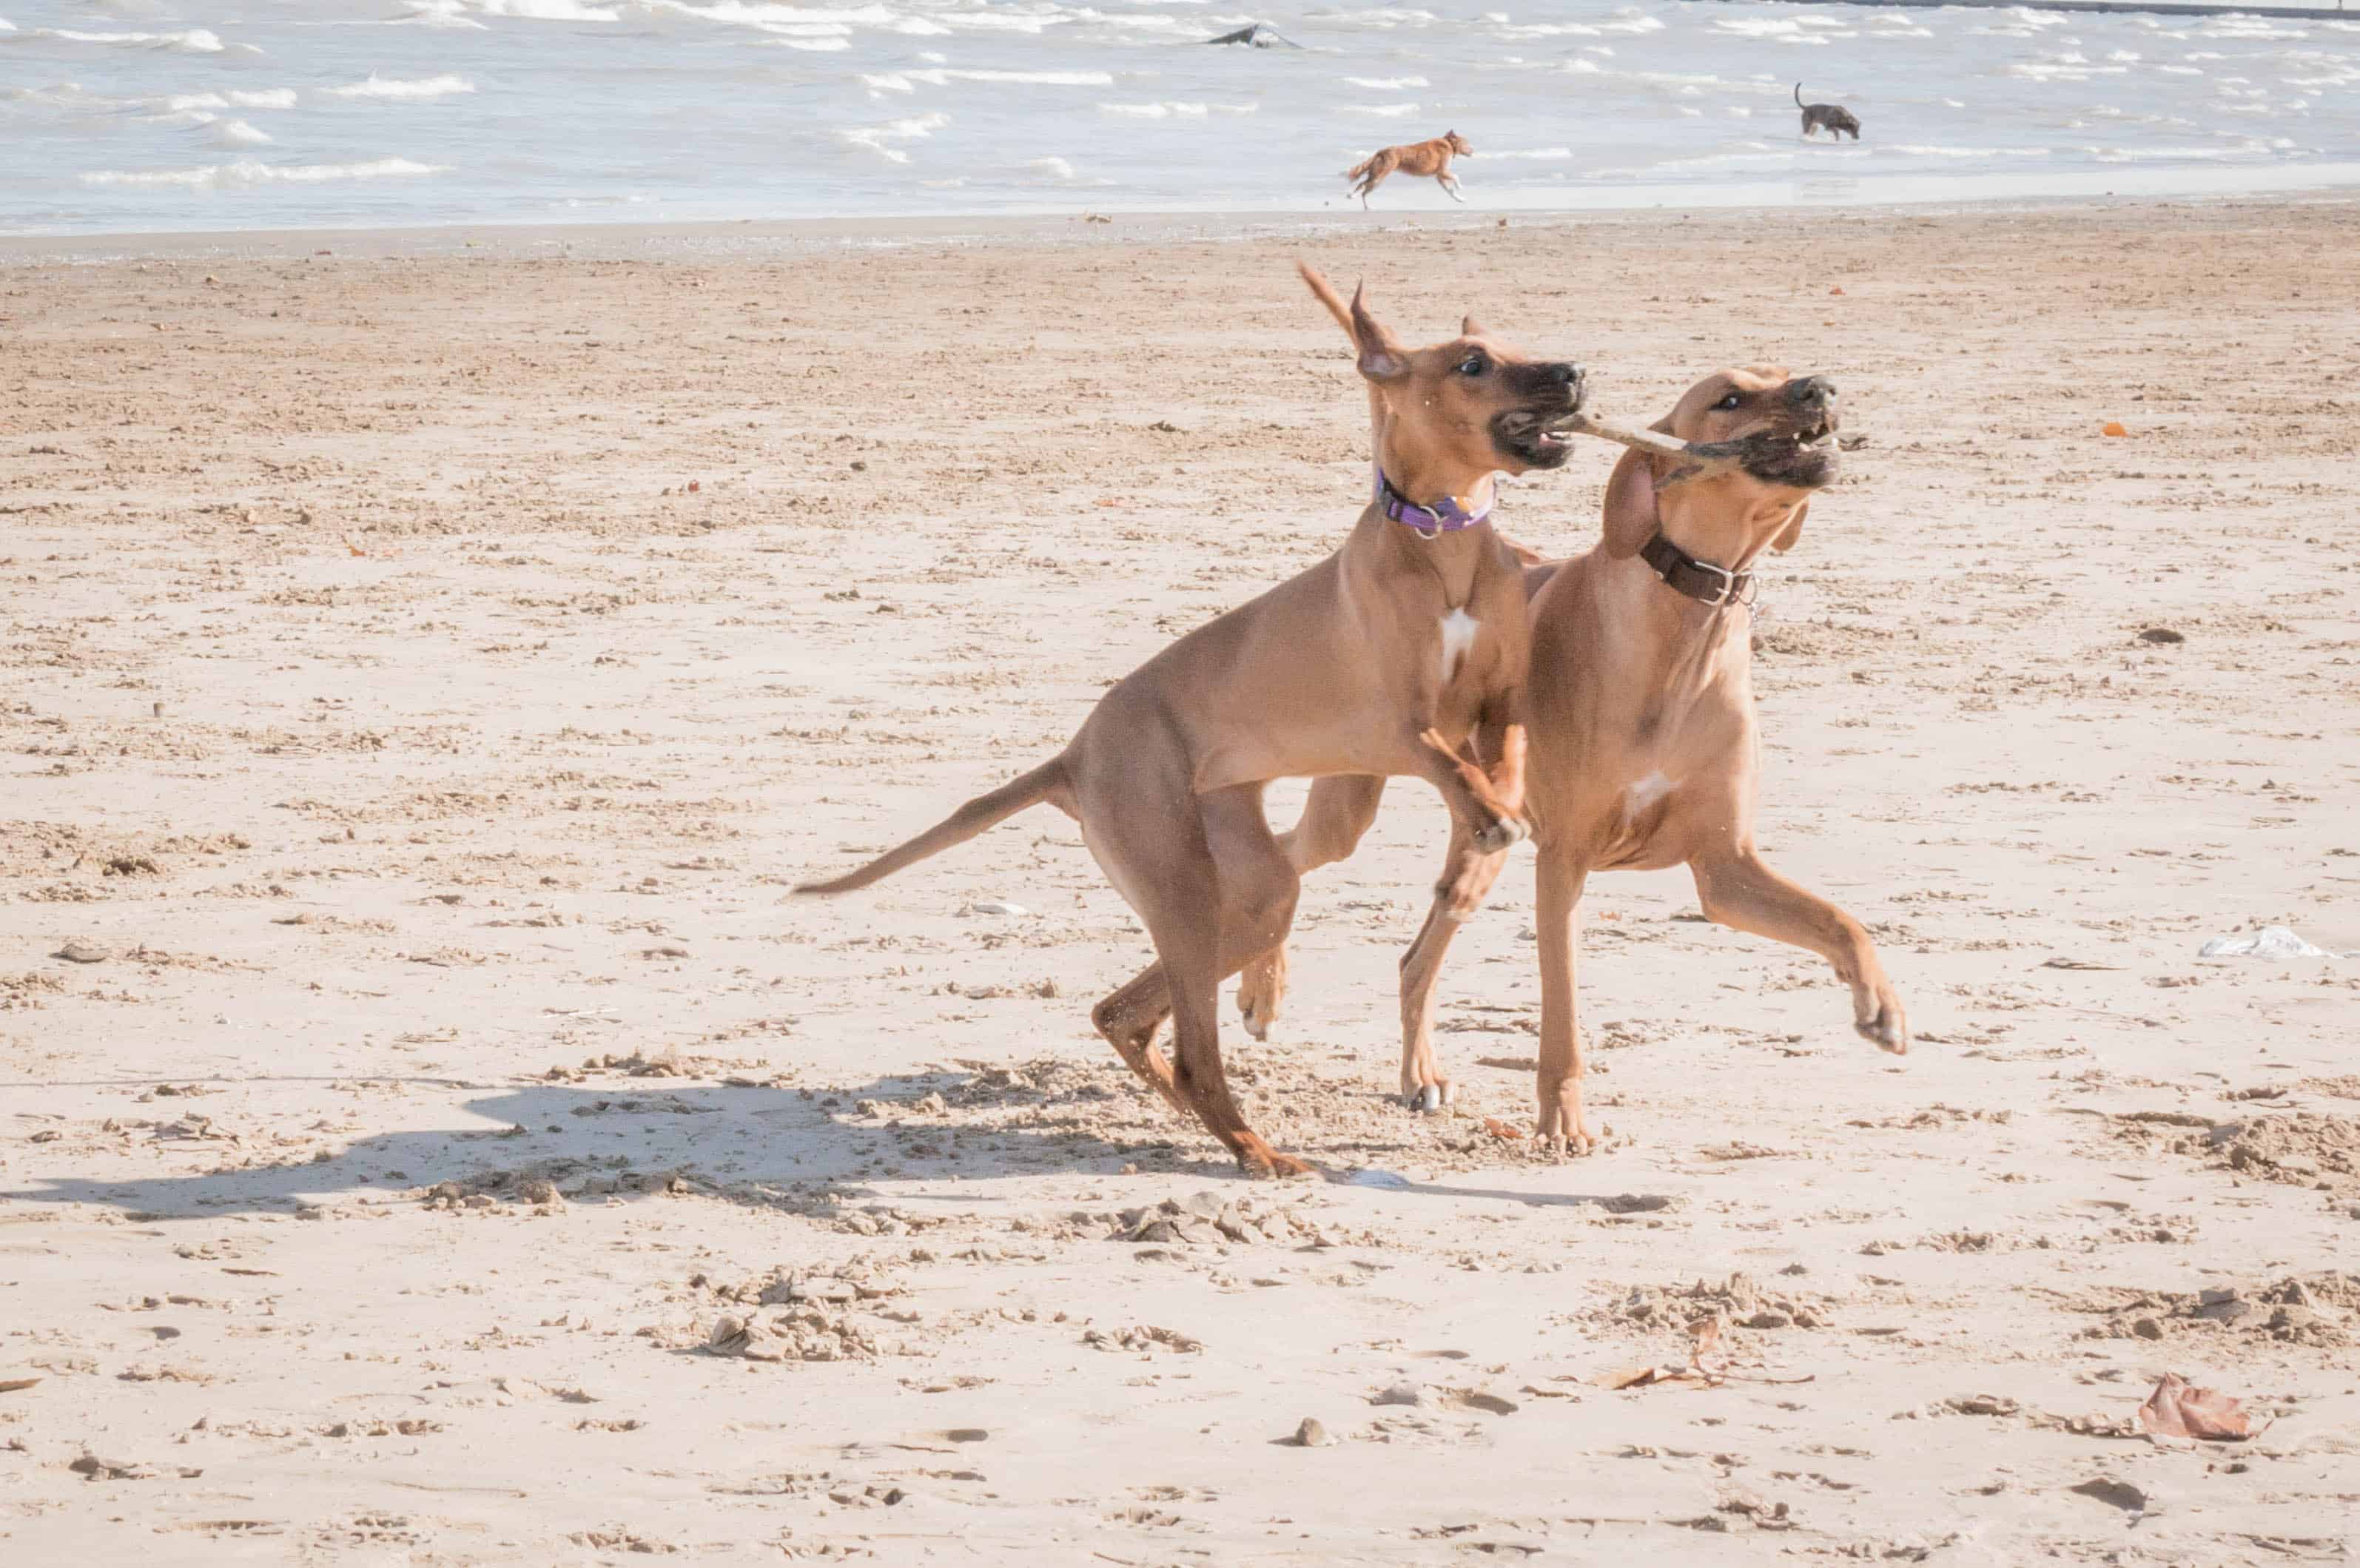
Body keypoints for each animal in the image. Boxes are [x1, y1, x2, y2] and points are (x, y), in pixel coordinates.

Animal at [802, 269, 1595, 1176]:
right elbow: (1447, 760)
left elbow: (1500, 764)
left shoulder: (1502, 703)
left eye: (1516, 344)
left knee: (1130, 1008)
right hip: (1183, 888)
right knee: (1189, 1048)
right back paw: (1254, 1145)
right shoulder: (1399, 722)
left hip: (1253, 890)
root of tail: (1074, 755)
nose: (1574, 372)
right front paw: (1486, 814)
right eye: (1471, 363)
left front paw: (1491, 824)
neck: (1441, 542)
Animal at [1350, 131, 1472, 207]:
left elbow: (1450, 191)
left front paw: (1459, 199)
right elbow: (1456, 177)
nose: (1473, 150)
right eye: (1466, 144)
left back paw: (1367, 207)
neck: (1449, 144)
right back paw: (1351, 196)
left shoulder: (1439, 176)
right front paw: (1459, 186)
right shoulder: (1443, 172)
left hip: (1377, 180)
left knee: (1364, 192)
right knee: (1362, 185)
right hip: (1379, 176)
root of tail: (1382, 151)